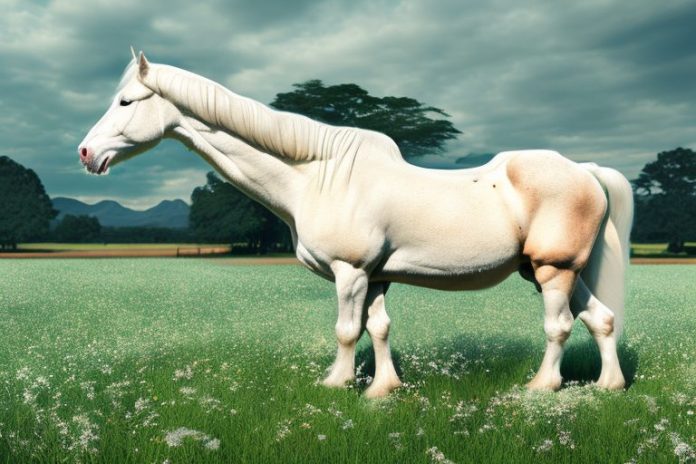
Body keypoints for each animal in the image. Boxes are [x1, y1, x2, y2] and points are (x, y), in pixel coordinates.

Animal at [78, 50, 633, 398]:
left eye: (126, 102)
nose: (85, 152)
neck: (318, 175)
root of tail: (585, 170)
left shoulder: (350, 272)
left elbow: (347, 331)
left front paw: (337, 384)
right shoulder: (376, 276)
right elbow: (379, 329)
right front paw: (383, 390)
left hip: (553, 271)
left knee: (560, 327)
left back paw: (542, 387)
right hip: (556, 272)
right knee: (601, 319)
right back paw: (609, 386)